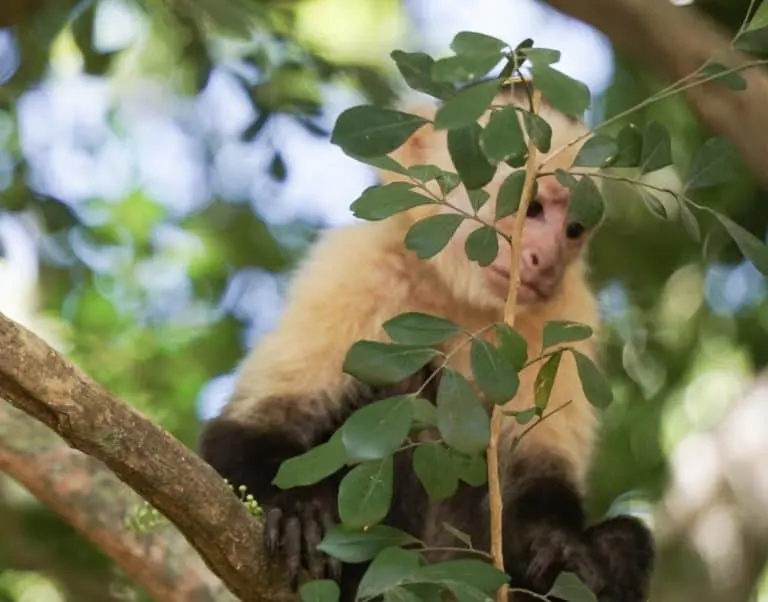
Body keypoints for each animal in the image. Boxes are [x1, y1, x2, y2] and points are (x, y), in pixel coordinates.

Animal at [200, 84, 656, 600]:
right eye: (532, 208)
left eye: (573, 229)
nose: (546, 259)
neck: (460, 293)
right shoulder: (358, 267)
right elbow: (255, 423)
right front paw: (294, 509)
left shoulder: (567, 313)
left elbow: (539, 472)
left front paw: (564, 548)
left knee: (626, 540)